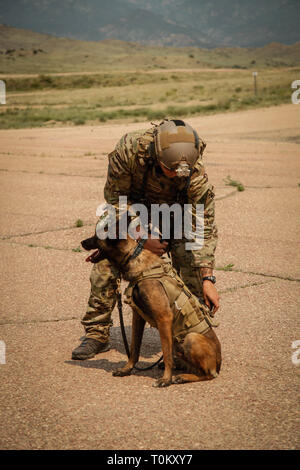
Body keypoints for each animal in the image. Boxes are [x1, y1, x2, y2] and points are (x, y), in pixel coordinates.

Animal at [81, 232, 221, 390]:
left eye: (97, 236)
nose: (82, 242)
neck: (133, 256)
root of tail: (219, 362)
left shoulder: (164, 318)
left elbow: (166, 355)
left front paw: (166, 379)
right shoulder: (138, 317)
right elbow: (134, 348)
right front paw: (127, 369)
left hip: (191, 338)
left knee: (208, 374)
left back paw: (182, 377)